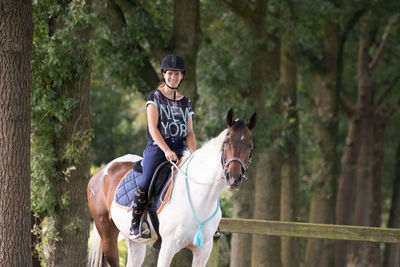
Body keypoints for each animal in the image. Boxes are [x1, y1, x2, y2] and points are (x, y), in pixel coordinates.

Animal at [86, 108, 256, 266]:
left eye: (250, 145)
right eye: (226, 142)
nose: (234, 178)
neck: (200, 198)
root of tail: (100, 173)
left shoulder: (203, 252)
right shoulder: (168, 248)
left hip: (135, 243)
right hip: (107, 232)